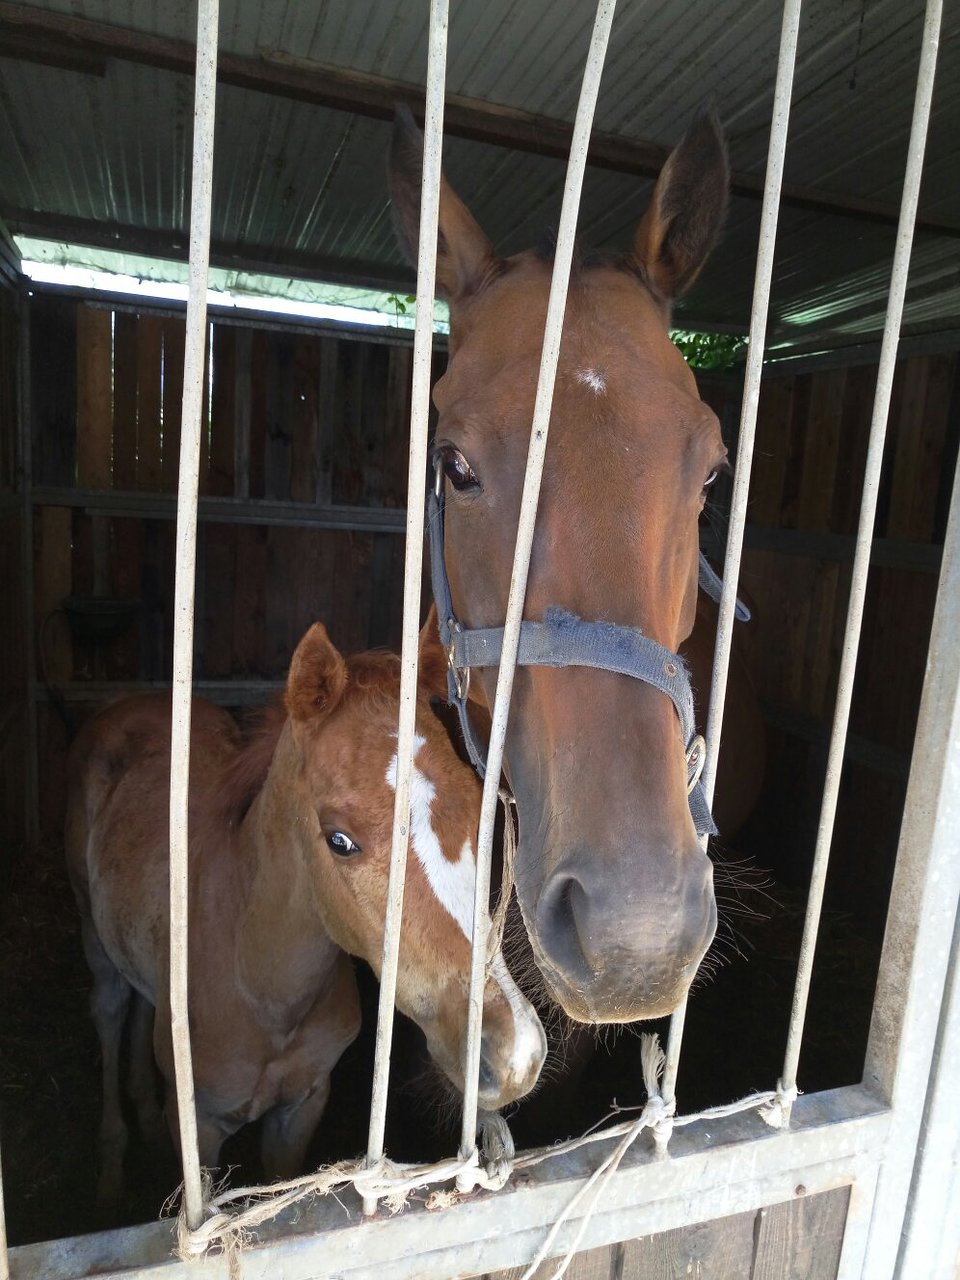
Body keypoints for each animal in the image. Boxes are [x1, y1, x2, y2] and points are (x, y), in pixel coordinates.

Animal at [65, 619, 547, 1198]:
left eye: (478, 804)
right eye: (339, 841)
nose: (515, 1055)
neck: (257, 986)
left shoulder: (302, 1107)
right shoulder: (199, 1127)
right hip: (91, 927)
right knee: (111, 1010)